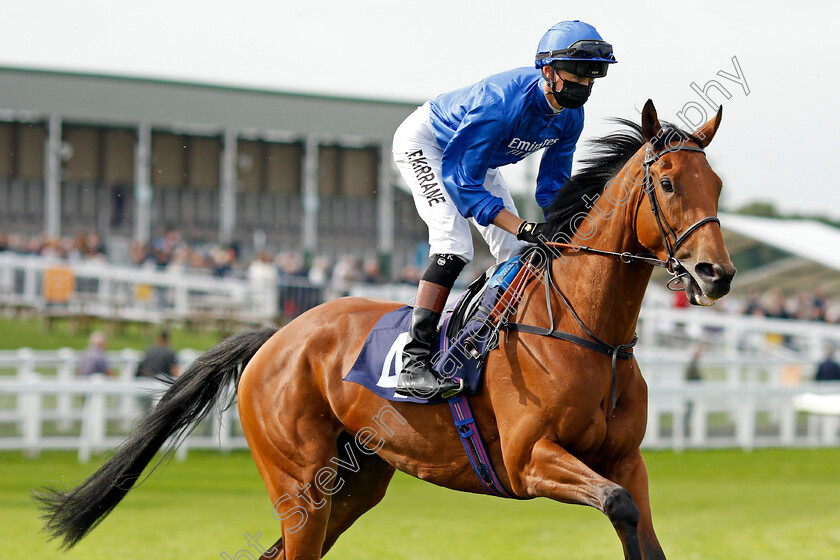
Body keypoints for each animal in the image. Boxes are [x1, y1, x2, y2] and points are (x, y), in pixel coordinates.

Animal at [37, 101, 736, 560]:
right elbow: (616, 505)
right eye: (667, 182)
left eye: (718, 184)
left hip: (353, 485)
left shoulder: (625, 460)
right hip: (300, 485)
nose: (717, 273)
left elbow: (640, 528)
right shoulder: (530, 461)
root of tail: (276, 336)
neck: (585, 332)